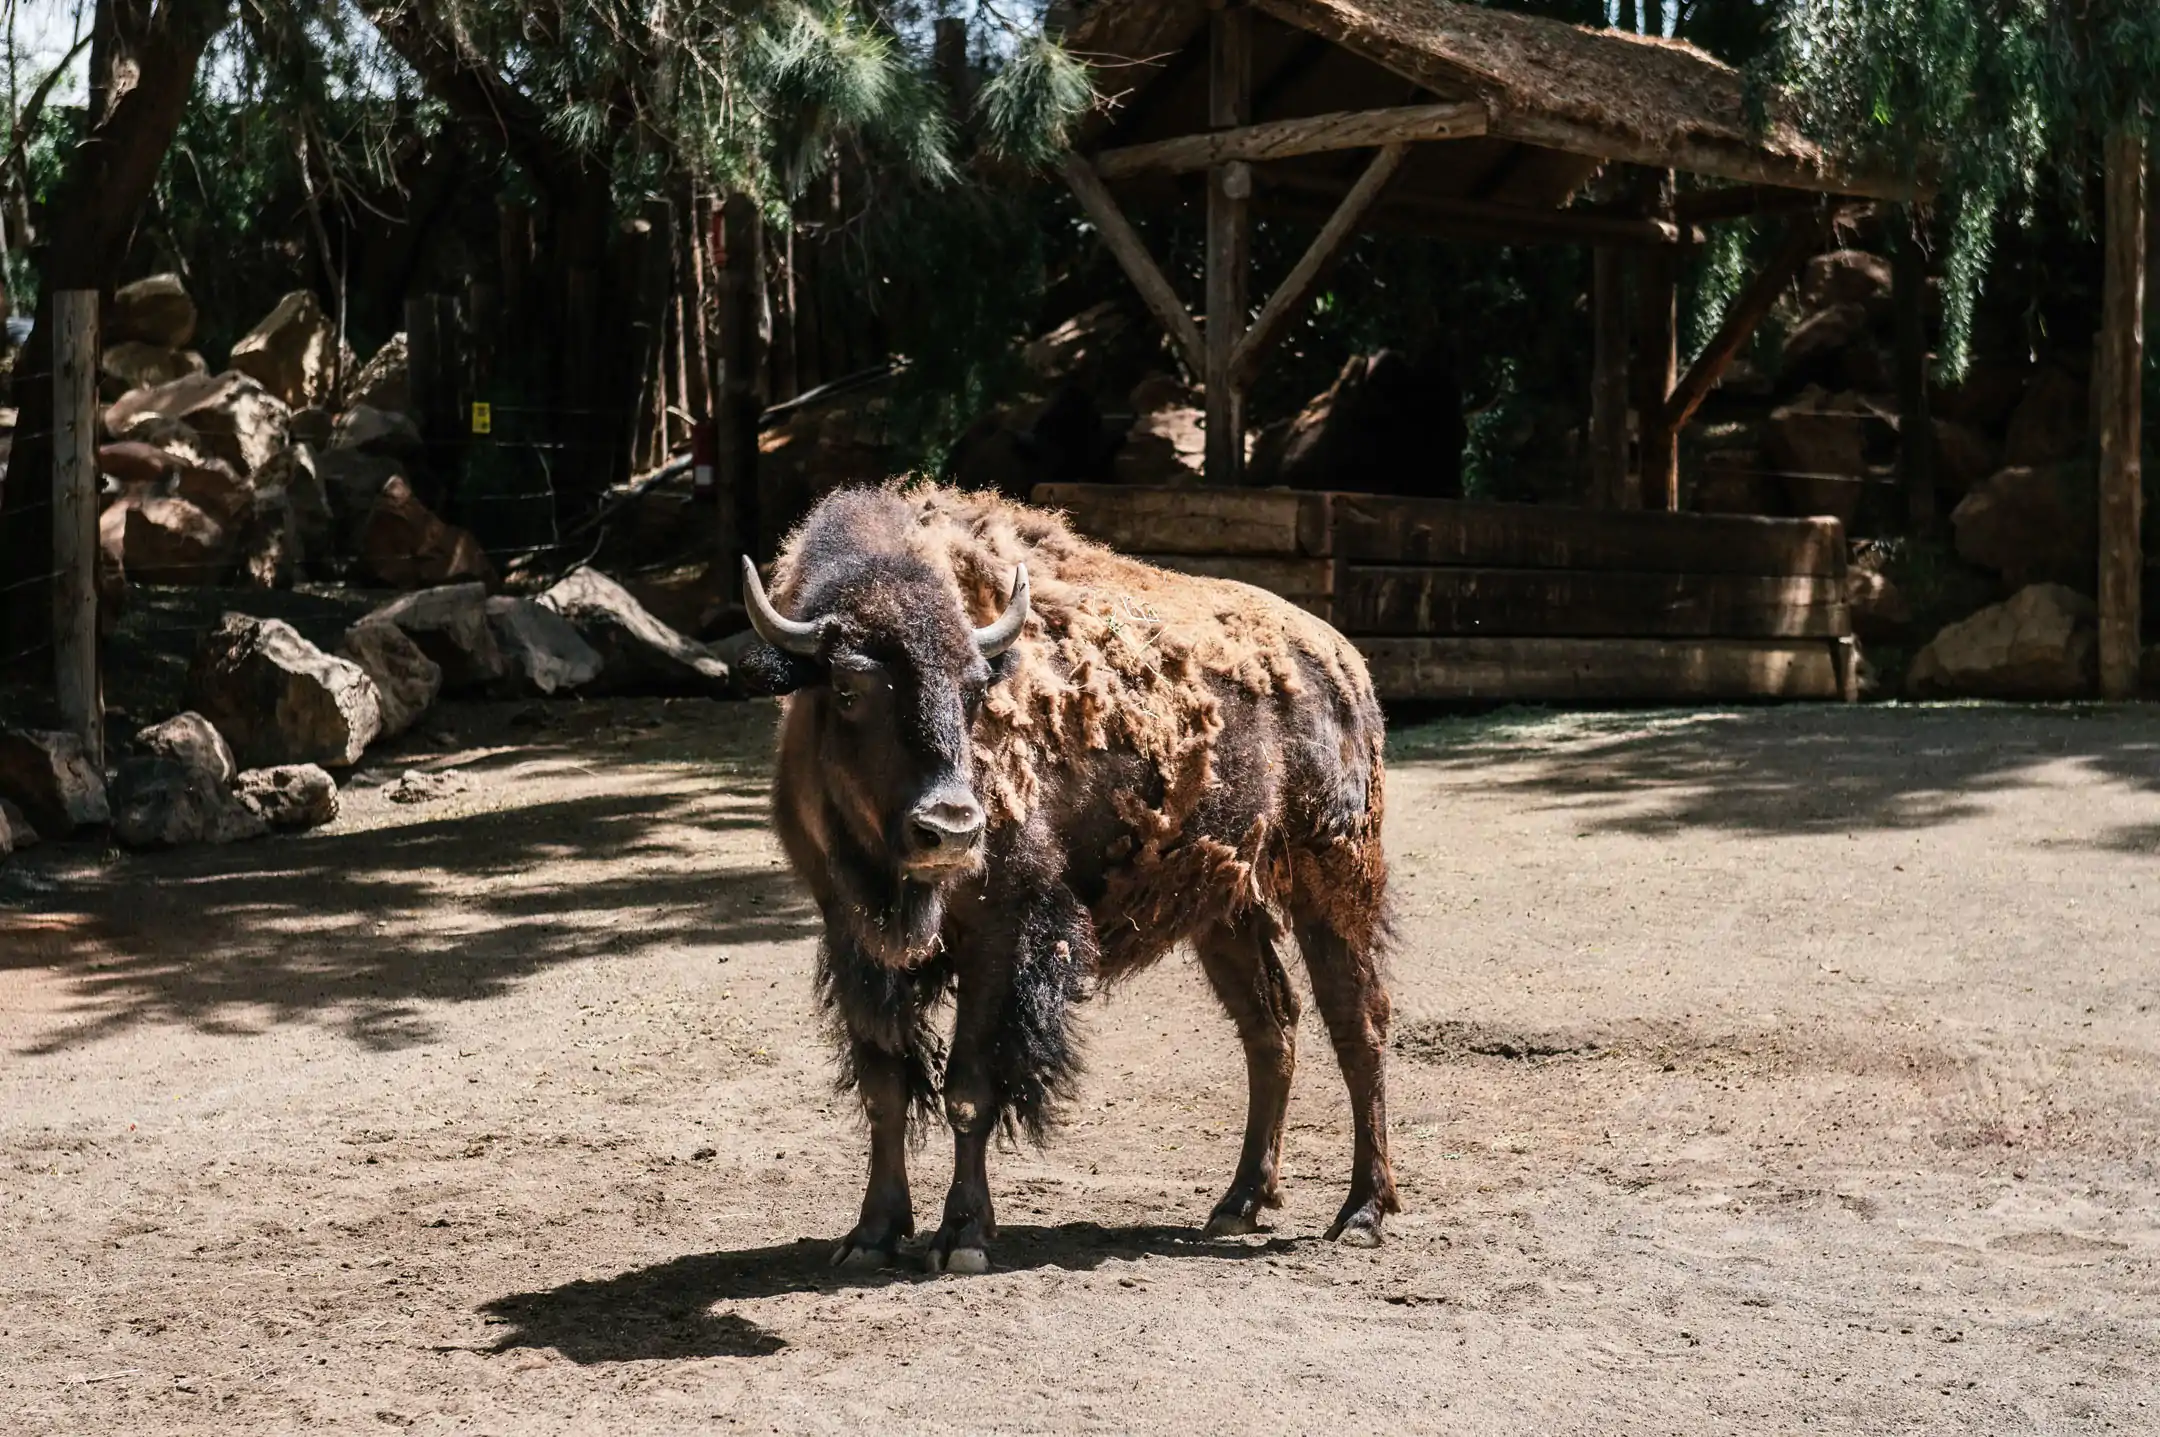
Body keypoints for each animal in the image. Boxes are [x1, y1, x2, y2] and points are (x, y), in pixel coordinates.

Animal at [734, 481, 1391, 1270]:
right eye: (849, 686)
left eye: (975, 689)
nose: (951, 827)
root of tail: (1343, 661)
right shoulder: (853, 935)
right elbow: (884, 1087)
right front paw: (871, 1236)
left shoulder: (1000, 927)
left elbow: (968, 1088)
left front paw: (964, 1238)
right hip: (1224, 910)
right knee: (1273, 1026)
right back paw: (1237, 1203)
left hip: (1335, 877)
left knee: (1358, 1023)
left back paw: (1362, 1213)